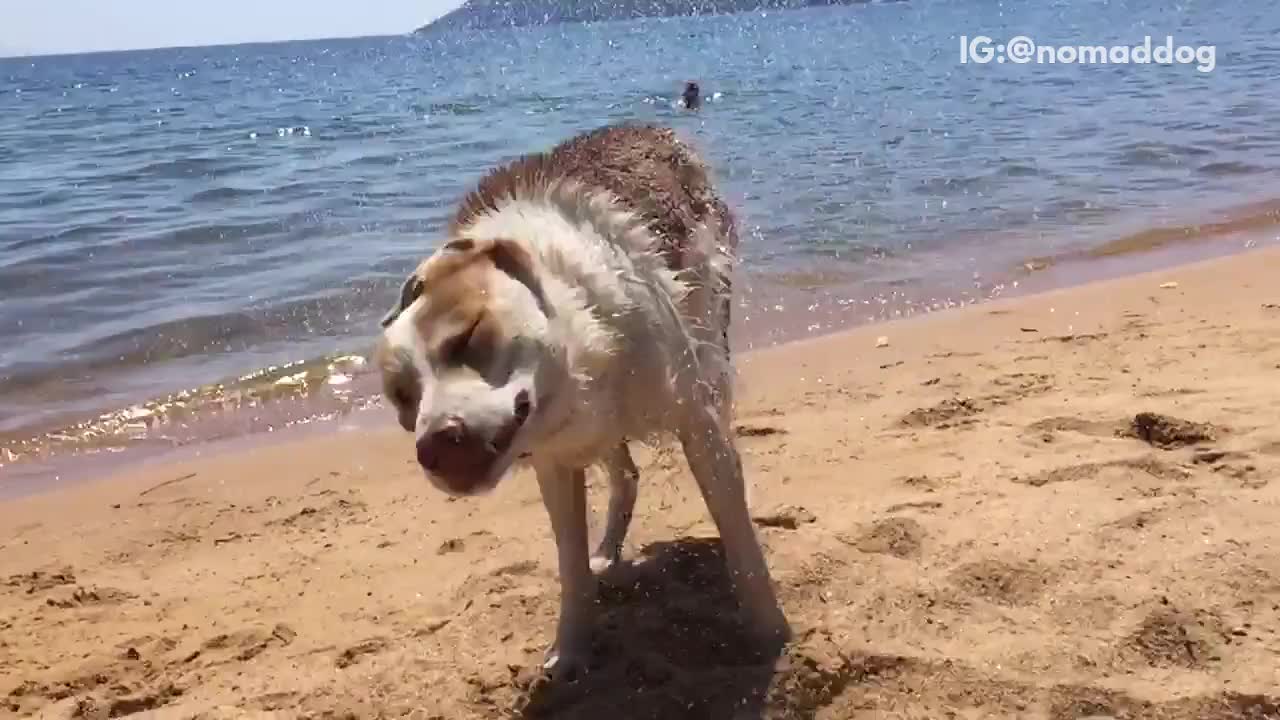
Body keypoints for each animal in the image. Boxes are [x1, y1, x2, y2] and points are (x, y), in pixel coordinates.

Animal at [373, 120, 788, 676]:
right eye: (402, 397)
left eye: (468, 337)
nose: (435, 444)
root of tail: (653, 126)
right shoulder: (553, 460)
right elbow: (570, 564)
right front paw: (569, 651)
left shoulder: (695, 417)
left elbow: (736, 527)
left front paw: (770, 630)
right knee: (625, 473)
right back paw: (608, 549)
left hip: (709, 323)